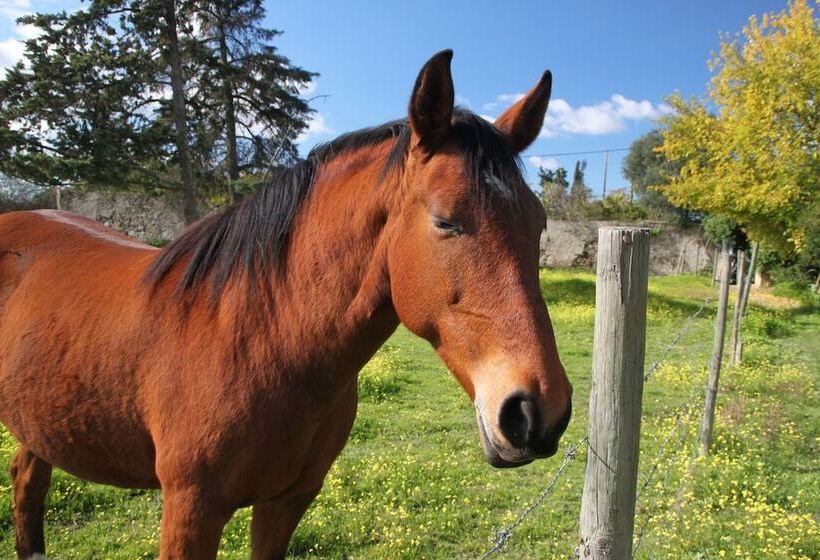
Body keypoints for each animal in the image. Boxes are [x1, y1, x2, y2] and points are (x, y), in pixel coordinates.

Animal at [0, 50, 572, 556]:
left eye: (539, 224)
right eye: (445, 220)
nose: (538, 413)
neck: (262, 340)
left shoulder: (288, 501)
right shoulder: (191, 510)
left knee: (28, 483)